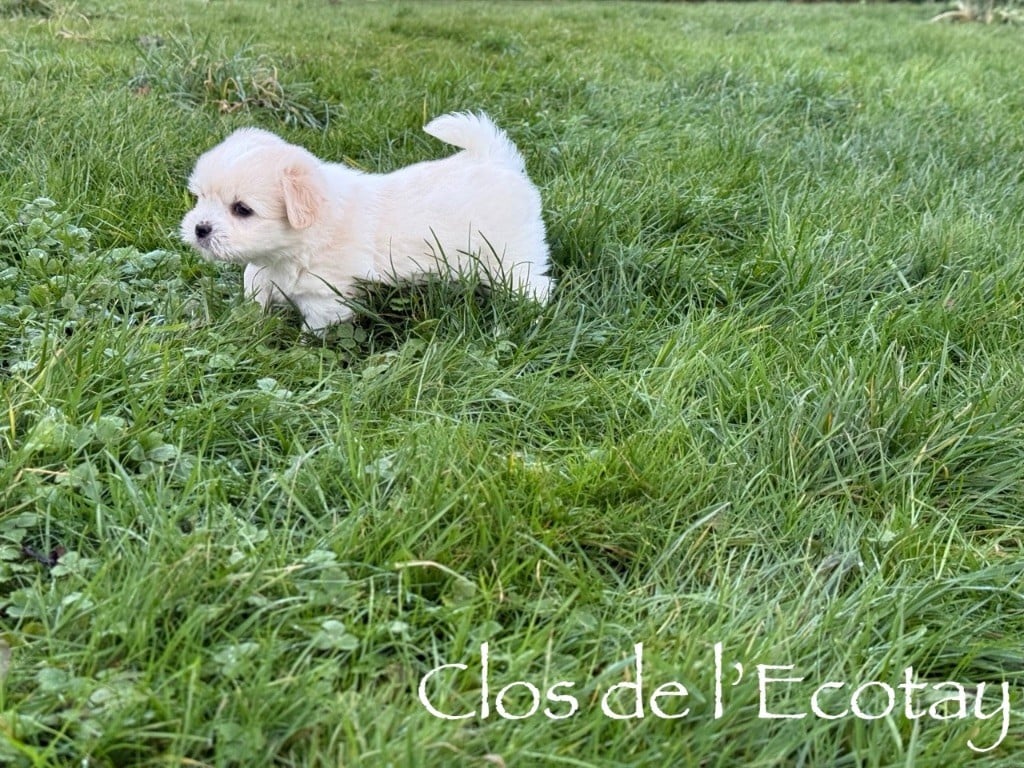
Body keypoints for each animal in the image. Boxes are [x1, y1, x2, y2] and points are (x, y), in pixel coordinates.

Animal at [180, 112, 552, 333]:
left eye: (241, 209)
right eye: (200, 197)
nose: (200, 229)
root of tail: (495, 161)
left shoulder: (326, 297)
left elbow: (316, 328)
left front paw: (304, 349)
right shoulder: (264, 271)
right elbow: (253, 285)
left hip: (510, 257)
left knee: (535, 286)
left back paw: (530, 318)